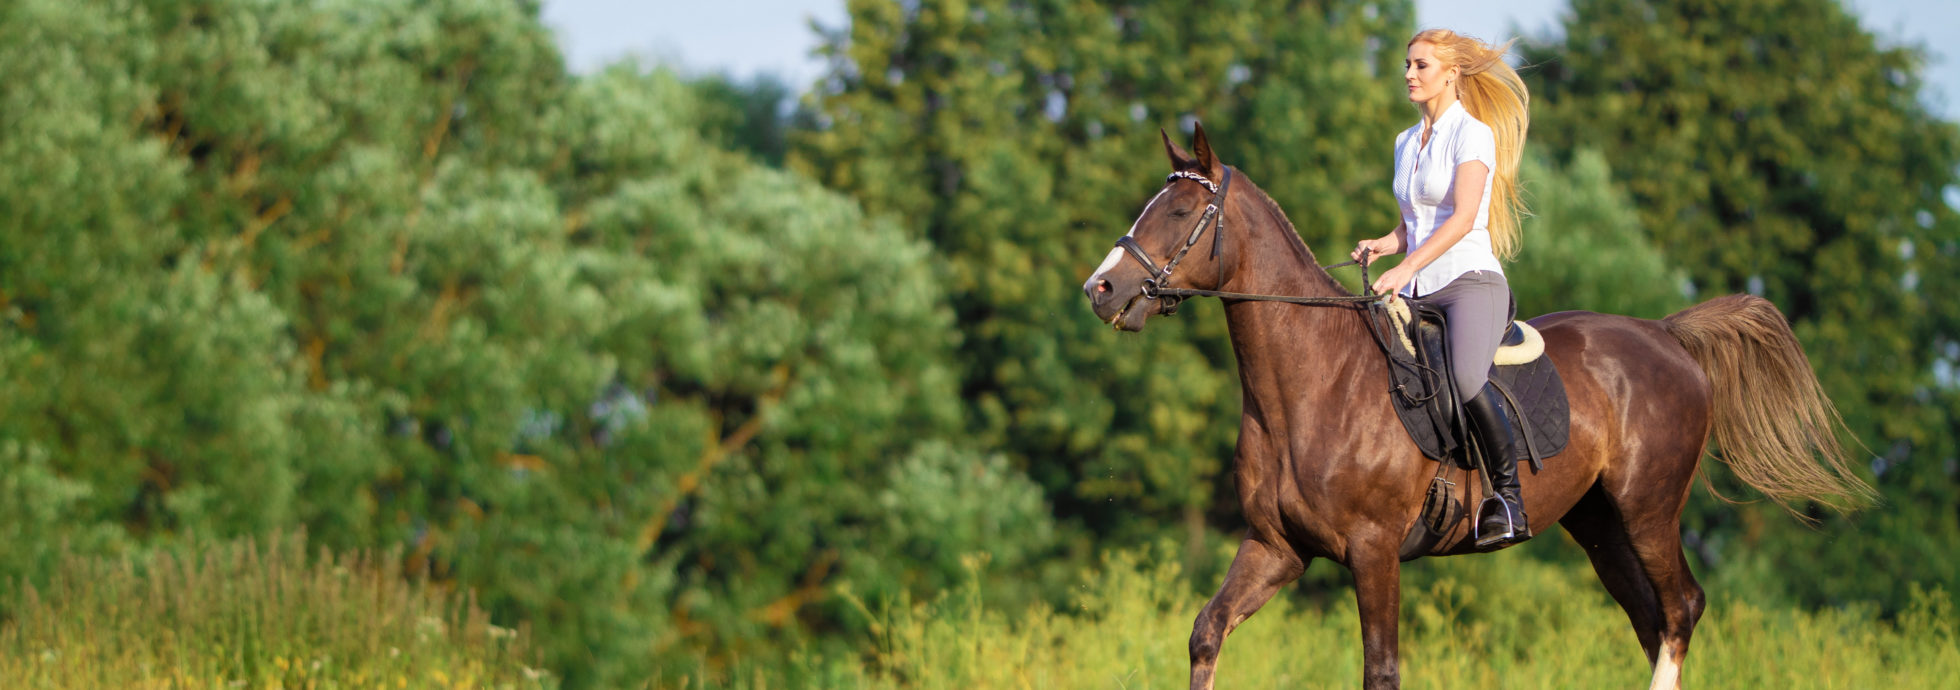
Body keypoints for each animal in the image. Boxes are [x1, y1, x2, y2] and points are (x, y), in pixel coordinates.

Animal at [1081, 125, 1873, 690]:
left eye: (1182, 210)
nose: (1101, 290)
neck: (1311, 383)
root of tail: (1666, 335)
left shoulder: (1374, 551)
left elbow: (1381, 671)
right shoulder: (1276, 547)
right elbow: (1207, 632)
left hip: (1649, 510)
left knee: (1680, 611)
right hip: (1601, 526)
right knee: (1653, 622)